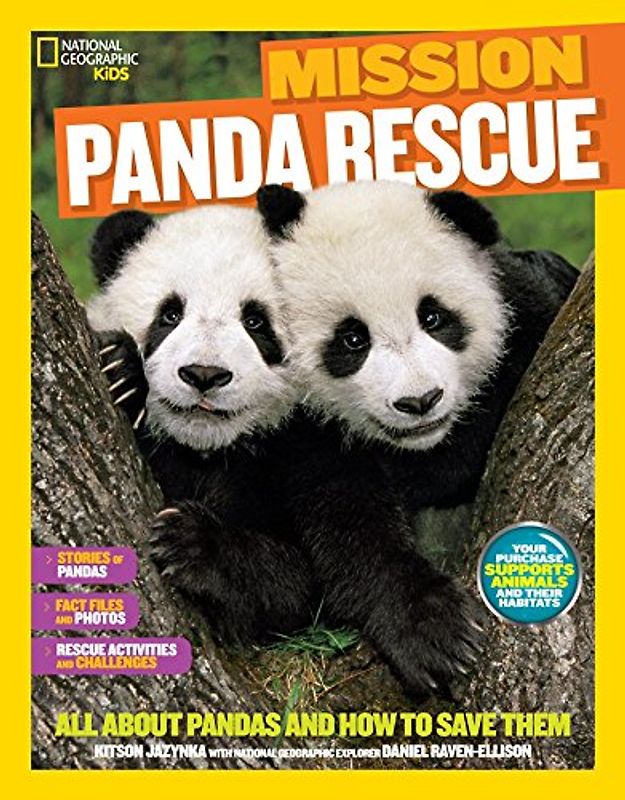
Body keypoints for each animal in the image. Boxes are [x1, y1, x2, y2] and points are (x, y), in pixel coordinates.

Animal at [86, 205, 314, 644]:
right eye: (170, 314)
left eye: (256, 322)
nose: (204, 374)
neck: (204, 448)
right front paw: (121, 370)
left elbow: (303, 587)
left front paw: (192, 542)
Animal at [256, 180, 578, 695]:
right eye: (352, 339)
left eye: (433, 317)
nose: (420, 401)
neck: (422, 445)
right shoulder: (305, 428)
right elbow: (347, 520)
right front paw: (434, 634)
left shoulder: (526, 316)